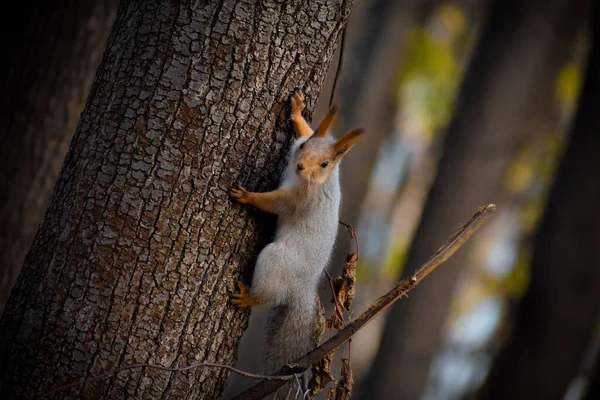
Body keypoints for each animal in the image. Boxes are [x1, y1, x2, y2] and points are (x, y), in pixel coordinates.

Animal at [229, 89, 360, 396]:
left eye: (325, 163)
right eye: (305, 147)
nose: (300, 166)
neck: (319, 180)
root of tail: (303, 286)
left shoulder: (299, 200)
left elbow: (274, 203)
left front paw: (247, 196)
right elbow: (305, 128)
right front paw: (298, 111)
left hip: (276, 259)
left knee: (267, 292)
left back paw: (249, 296)